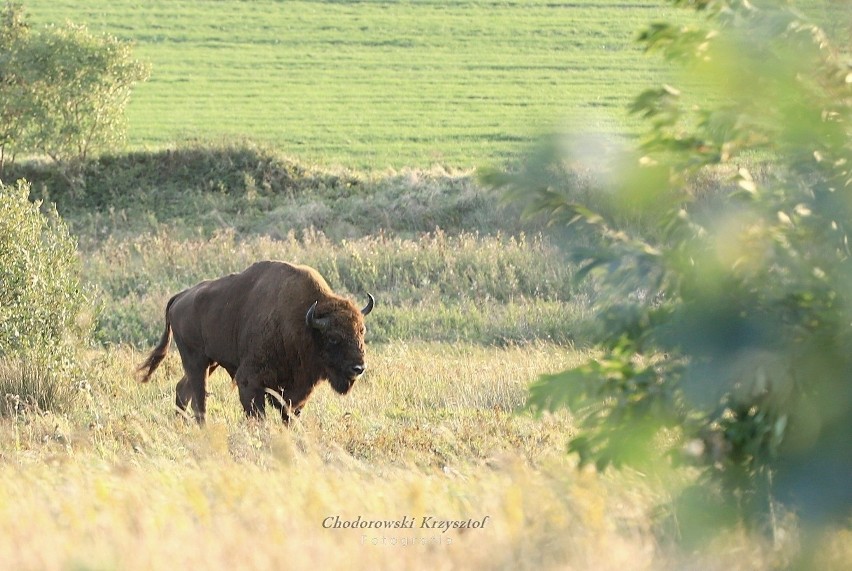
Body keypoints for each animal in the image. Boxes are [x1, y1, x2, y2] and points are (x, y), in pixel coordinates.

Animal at [136, 260, 372, 424]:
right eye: (333, 337)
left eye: (361, 332)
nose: (358, 368)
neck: (304, 322)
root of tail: (180, 297)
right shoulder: (249, 381)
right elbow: (257, 415)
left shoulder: (295, 394)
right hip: (196, 361)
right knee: (198, 398)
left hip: (210, 362)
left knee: (183, 390)